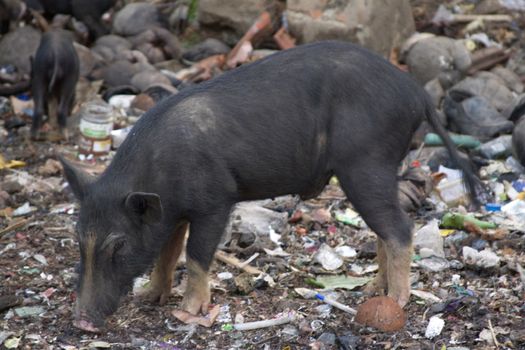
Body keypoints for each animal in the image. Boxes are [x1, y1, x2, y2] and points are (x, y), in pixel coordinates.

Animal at [60, 39, 478, 332]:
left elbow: (195, 254)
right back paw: (371, 291)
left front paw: (185, 313)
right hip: (375, 170)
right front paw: (149, 297)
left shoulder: (216, 201)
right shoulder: (173, 213)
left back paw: (398, 300)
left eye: (118, 244)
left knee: (400, 228)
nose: (81, 320)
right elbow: (166, 252)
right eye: (79, 239)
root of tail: (417, 93)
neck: (159, 171)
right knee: (385, 228)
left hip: (365, 163)